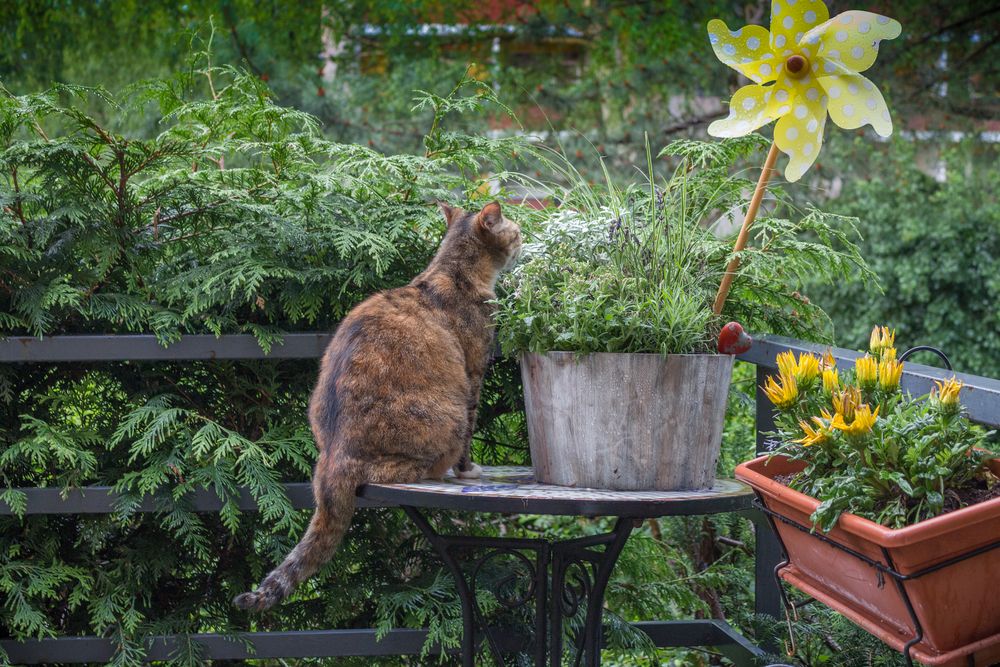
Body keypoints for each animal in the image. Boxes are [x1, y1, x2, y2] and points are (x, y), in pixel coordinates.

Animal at [230, 201, 520, 612]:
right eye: (515, 230)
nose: (523, 239)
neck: (452, 272)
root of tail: (335, 457)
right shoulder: (475, 372)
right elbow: (471, 435)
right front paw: (468, 471)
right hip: (447, 418)